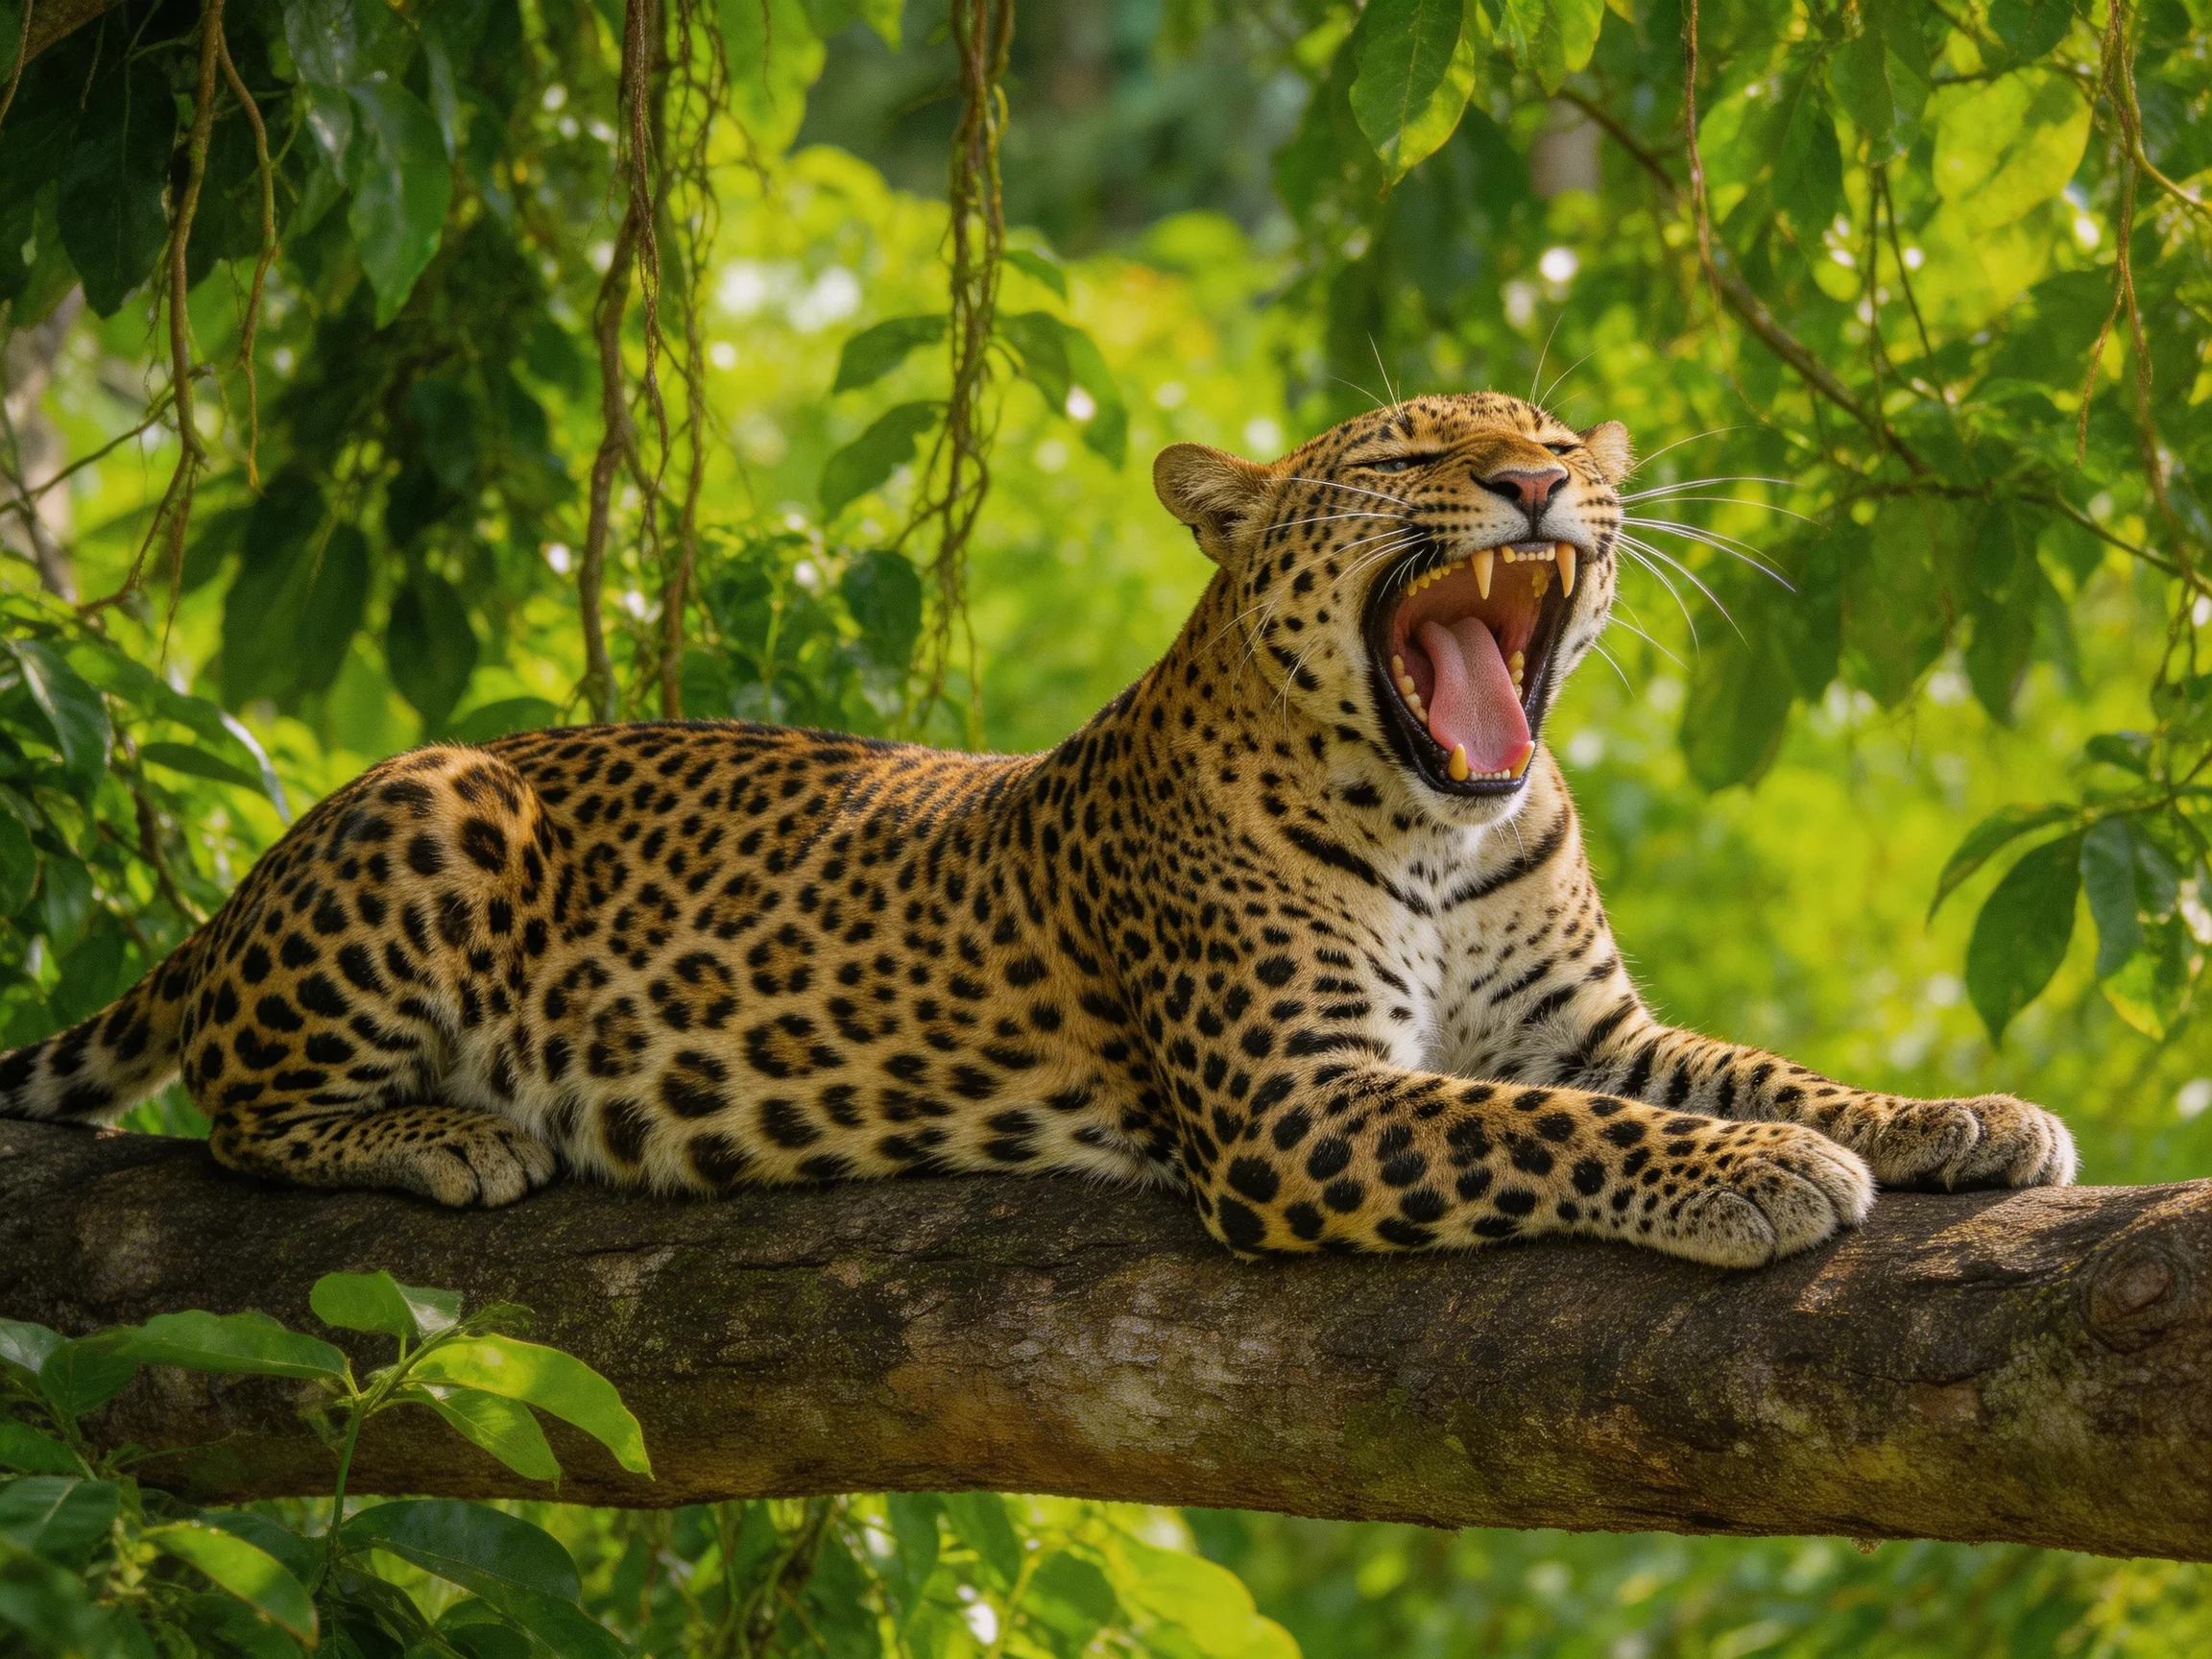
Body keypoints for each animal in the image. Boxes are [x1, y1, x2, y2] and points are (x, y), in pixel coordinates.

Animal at [0, 392, 2076, 1267]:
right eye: (1416, 451)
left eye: (1567, 438)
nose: (1537, 484)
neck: (1436, 818)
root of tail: (254, 884)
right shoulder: (1294, 1101)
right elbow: (1551, 1128)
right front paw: (1760, 1181)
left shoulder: (1586, 1024)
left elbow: (1739, 1066)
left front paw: (1954, 1116)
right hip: (434, 807)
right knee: (242, 1108)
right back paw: (447, 1135)